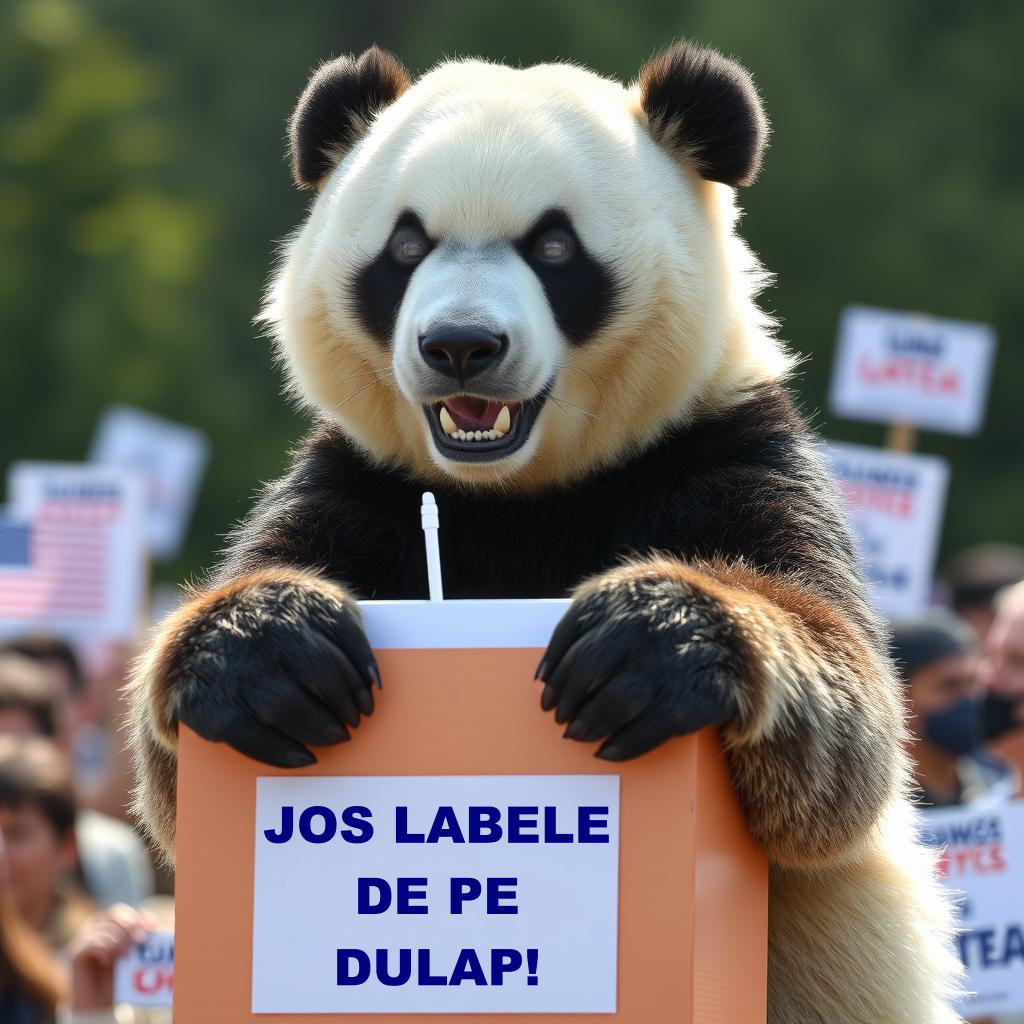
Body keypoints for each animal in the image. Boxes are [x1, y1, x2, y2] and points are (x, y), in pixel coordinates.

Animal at [128, 42, 962, 1023]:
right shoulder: (359, 485)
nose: (460, 346)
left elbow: (846, 724)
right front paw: (271, 654)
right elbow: (171, 784)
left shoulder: (728, 449)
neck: (520, 493)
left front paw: (644, 649)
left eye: (555, 247)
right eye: (405, 246)